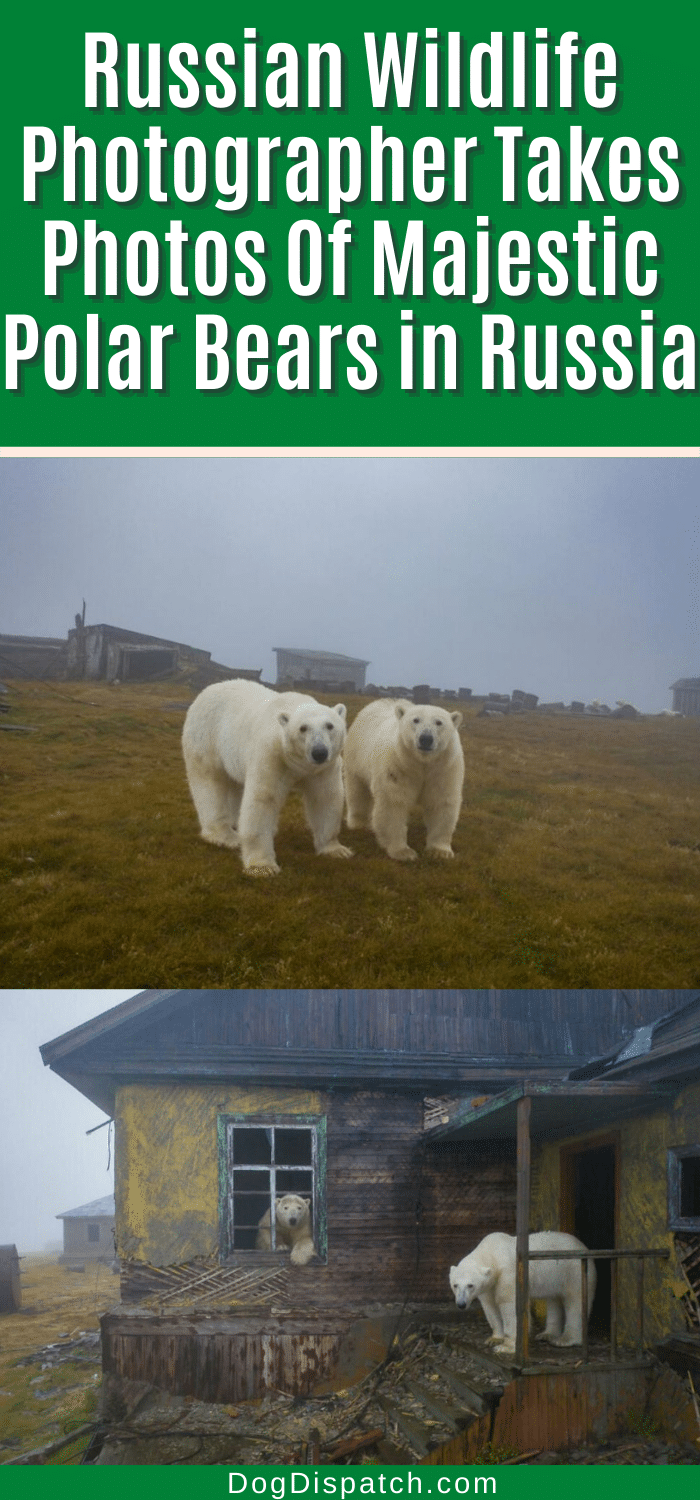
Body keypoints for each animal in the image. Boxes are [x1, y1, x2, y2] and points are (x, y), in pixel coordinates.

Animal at [182, 678, 353, 876]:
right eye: (303, 728)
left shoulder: (324, 768)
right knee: (210, 783)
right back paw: (226, 836)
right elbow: (263, 799)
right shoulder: (272, 755)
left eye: (330, 725)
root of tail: (207, 690)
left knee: (235, 785)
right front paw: (263, 866)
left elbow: (326, 798)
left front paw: (336, 850)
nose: (319, 752)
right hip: (206, 737)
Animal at [343, 696, 464, 864]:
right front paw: (403, 852)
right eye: (416, 720)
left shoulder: (443, 769)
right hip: (356, 755)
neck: (422, 763)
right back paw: (358, 823)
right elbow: (393, 803)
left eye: (439, 722)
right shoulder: (397, 765)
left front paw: (440, 851)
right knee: (357, 791)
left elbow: (441, 802)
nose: (426, 738)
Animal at [449, 1230, 596, 1362]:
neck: (493, 1252)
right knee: (554, 1300)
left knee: (575, 1302)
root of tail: (583, 1247)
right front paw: (494, 1339)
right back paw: (547, 1334)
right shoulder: (489, 1285)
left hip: (573, 1270)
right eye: (455, 1285)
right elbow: (490, 1306)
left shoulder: (508, 1274)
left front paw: (506, 1347)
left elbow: (510, 1306)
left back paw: (565, 1340)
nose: (461, 1304)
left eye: (470, 1285)